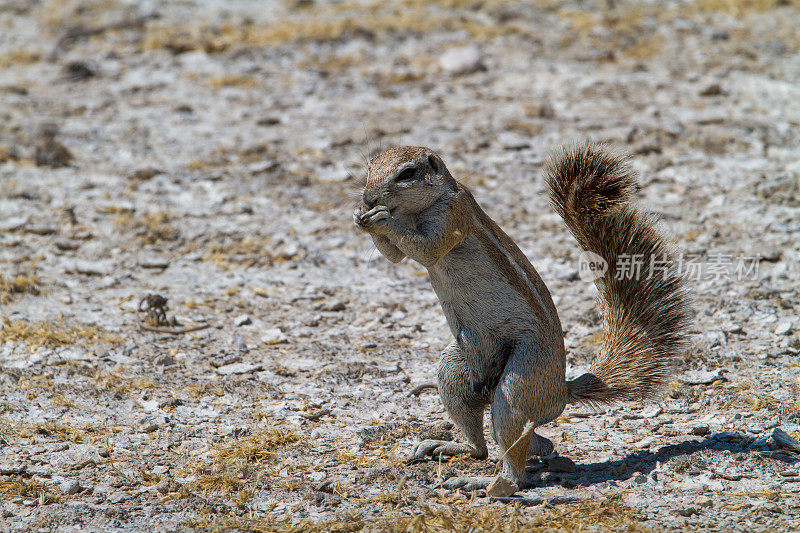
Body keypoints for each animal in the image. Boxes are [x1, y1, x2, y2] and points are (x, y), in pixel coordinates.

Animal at [354, 142, 692, 490]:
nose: (368, 197)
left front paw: (380, 220)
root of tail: (561, 391)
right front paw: (361, 217)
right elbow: (394, 255)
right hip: (456, 369)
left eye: (406, 173)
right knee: (487, 444)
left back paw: (490, 483)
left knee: (510, 449)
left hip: (518, 383)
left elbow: (426, 248)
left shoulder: (452, 217)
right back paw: (457, 447)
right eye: (370, 166)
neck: (417, 210)